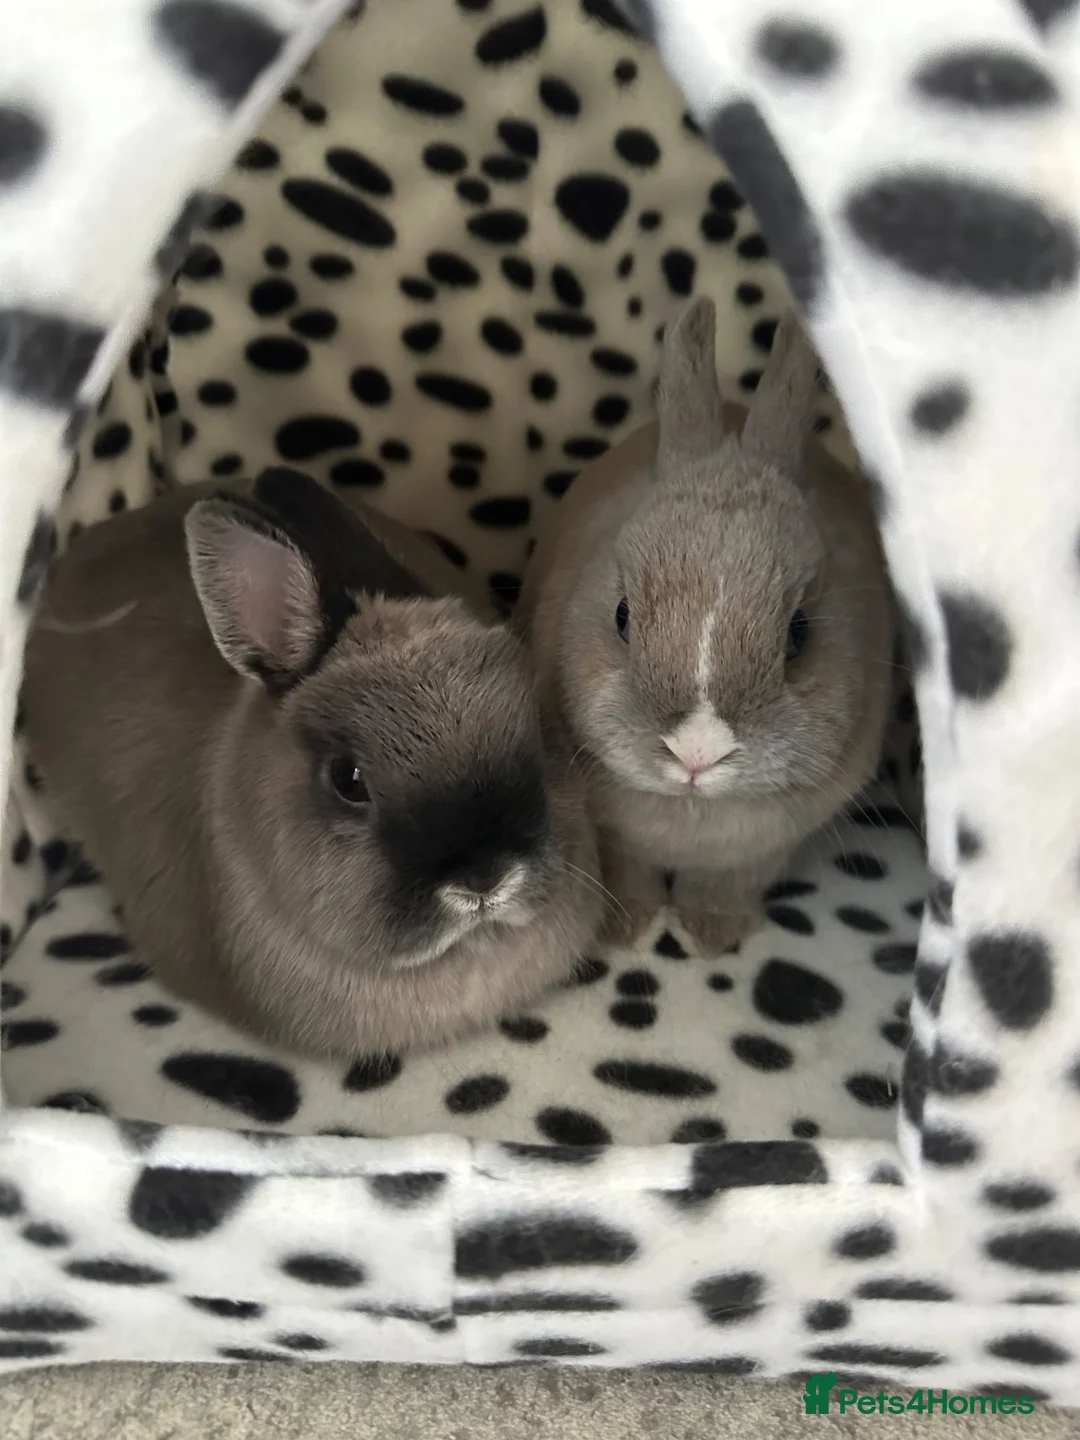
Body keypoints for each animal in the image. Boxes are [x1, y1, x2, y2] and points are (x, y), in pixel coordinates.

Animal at [521, 297, 894, 955]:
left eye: (800, 633)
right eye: (621, 615)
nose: (696, 751)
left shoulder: (758, 855)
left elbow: (723, 886)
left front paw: (709, 935)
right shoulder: (613, 842)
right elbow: (629, 874)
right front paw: (627, 929)